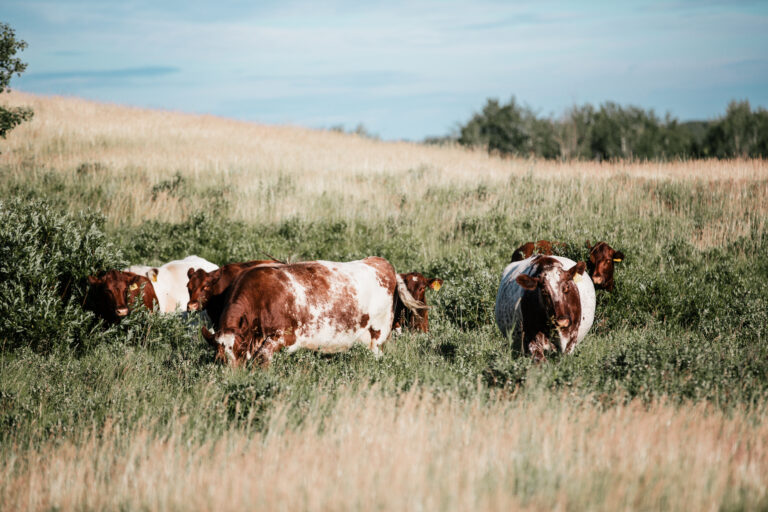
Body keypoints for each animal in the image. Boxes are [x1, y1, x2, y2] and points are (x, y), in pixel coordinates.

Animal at [201, 258, 428, 366]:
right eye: (220, 359)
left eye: (239, 351)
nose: (234, 377)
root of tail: (383, 264)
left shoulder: (284, 337)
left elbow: (263, 359)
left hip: (376, 337)